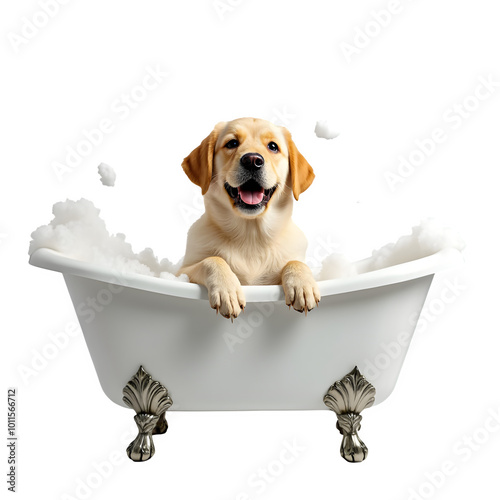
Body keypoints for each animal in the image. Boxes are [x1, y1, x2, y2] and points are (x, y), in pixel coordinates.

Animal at [180, 117, 320, 320]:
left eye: (273, 146)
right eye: (232, 143)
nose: (252, 160)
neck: (251, 235)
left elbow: (295, 262)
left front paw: (303, 285)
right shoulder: (182, 271)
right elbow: (212, 260)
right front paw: (227, 291)